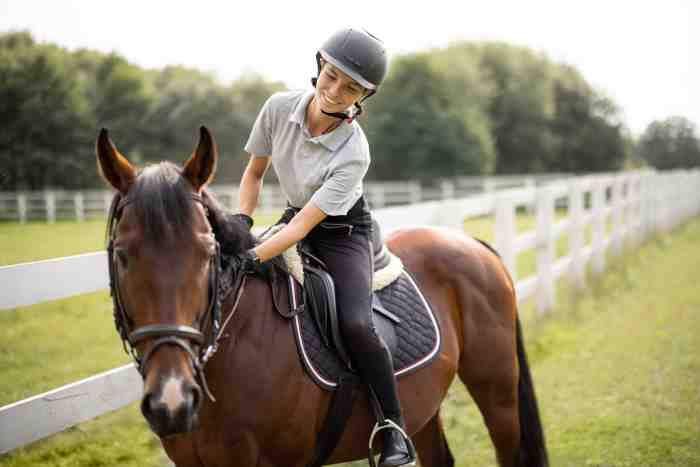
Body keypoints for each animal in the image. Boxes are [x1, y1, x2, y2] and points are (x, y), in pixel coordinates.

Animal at [97, 127, 548, 467]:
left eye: (207, 252)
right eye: (122, 254)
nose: (171, 401)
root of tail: (471, 243)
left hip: (497, 390)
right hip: (425, 405)